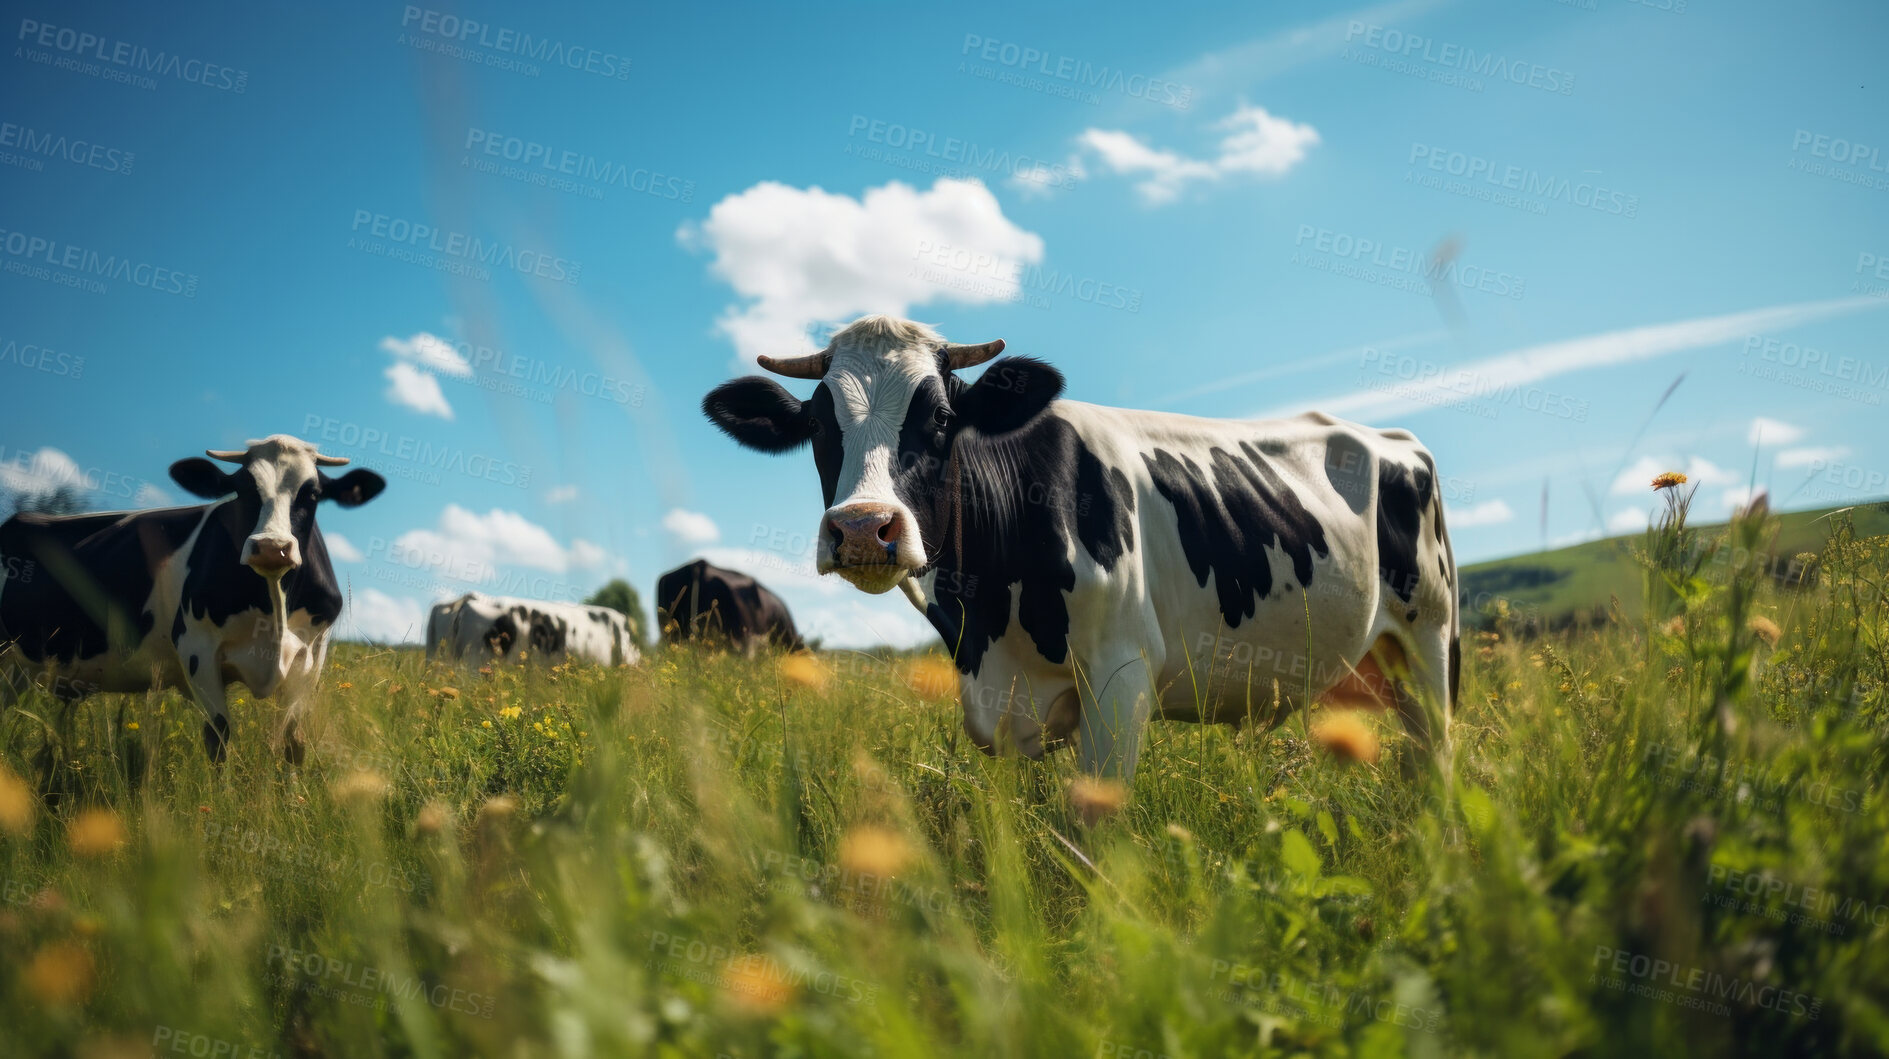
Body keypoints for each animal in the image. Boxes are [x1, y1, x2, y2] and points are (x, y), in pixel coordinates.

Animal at [0, 435, 386, 762]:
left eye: (313, 494)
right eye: (241, 490)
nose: (270, 547)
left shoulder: (312, 655)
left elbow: (292, 742)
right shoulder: (197, 645)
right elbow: (218, 736)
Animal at [701, 315, 1457, 780]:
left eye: (942, 417)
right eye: (817, 426)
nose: (863, 526)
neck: (986, 622)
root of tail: (1391, 436)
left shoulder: (1123, 676)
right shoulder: (1005, 708)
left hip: (1432, 639)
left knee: (1437, 760)